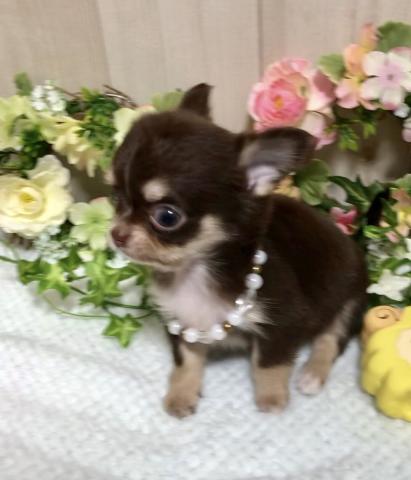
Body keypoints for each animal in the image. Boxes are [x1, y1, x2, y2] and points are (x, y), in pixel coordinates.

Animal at [110, 83, 368, 417]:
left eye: (166, 217)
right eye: (116, 198)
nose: (116, 235)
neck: (195, 271)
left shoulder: (283, 321)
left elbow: (268, 363)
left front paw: (271, 398)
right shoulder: (180, 322)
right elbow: (187, 360)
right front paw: (181, 394)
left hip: (351, 298)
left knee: (332, 338)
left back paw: (312, 374)